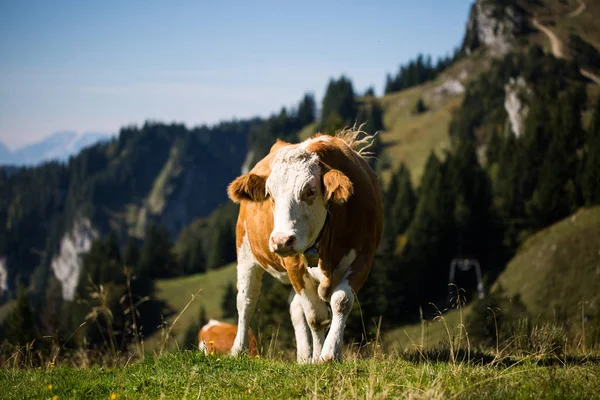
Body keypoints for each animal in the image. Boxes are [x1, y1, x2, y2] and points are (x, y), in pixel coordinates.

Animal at [225, 129, 384, 362]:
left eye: (310, 191)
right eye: (270, 194)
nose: (281, 240)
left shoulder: (364, 256)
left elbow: (341, 301)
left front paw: (329, 353)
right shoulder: (294, 265)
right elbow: (316, 317)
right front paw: (319, 356)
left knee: (294, 305)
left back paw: (303, 356)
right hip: (245, 252)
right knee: (246, 301)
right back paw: (238, 350)